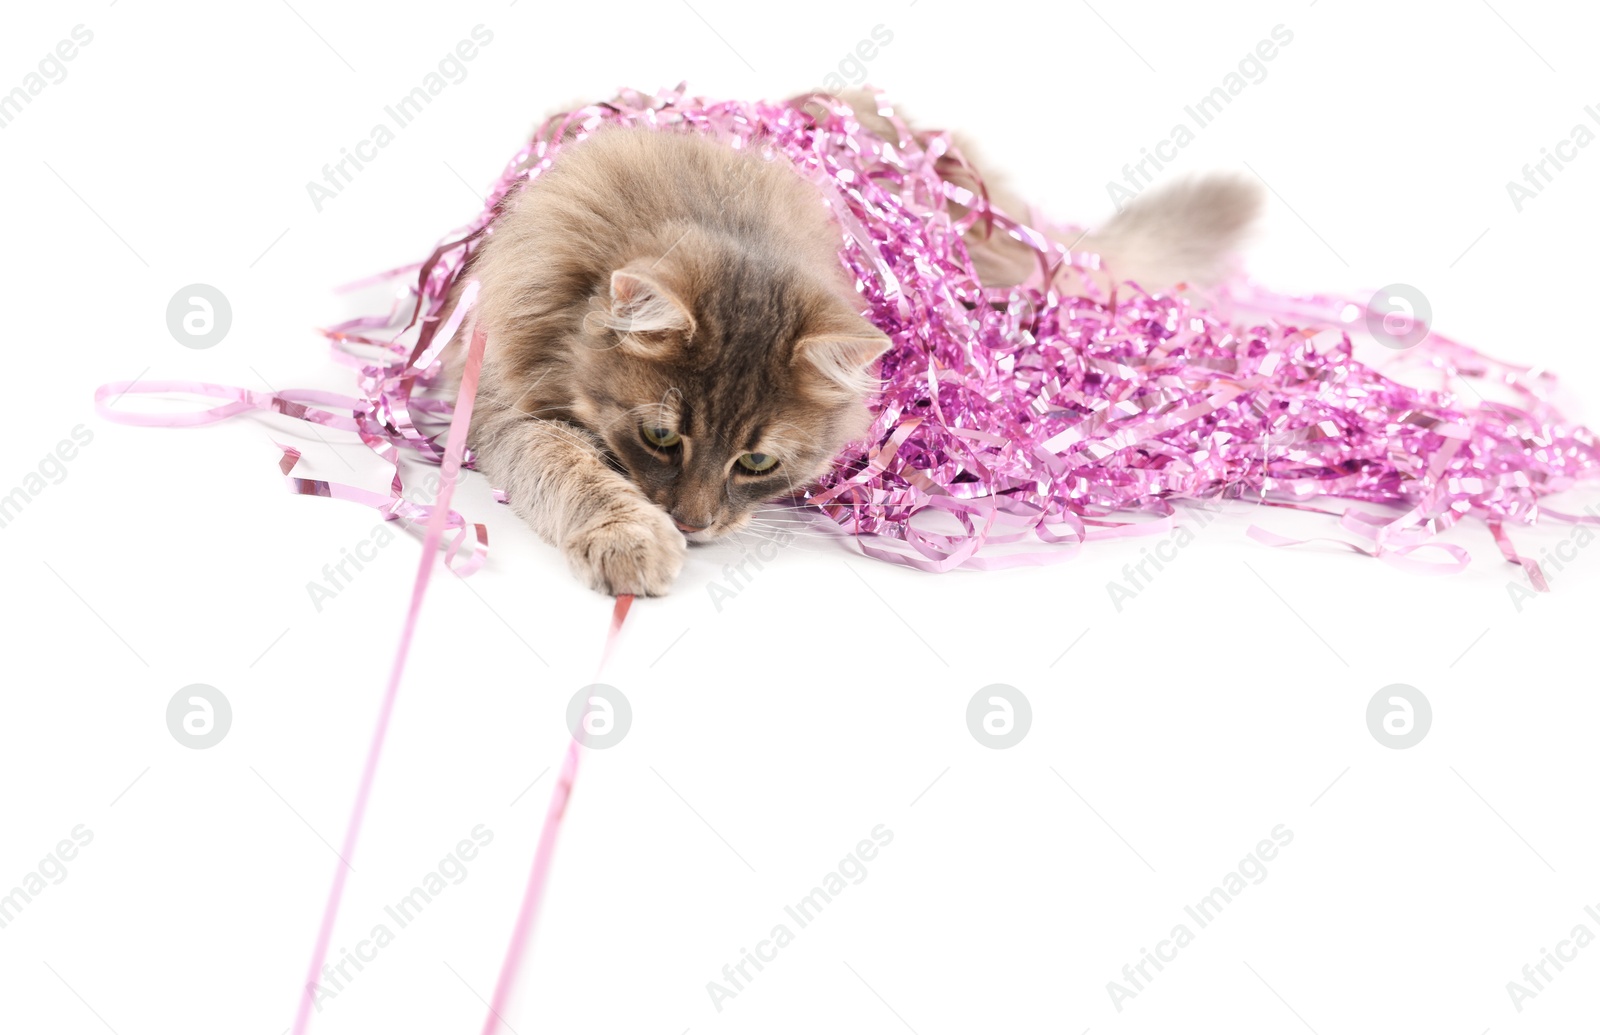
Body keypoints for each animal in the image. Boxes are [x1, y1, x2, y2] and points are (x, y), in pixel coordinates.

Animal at [451, 99, 1260, 598]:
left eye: (756, 463)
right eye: (659, 436)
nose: (691, 523)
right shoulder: (508, 406)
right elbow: (576, 471)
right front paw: (631, 537)